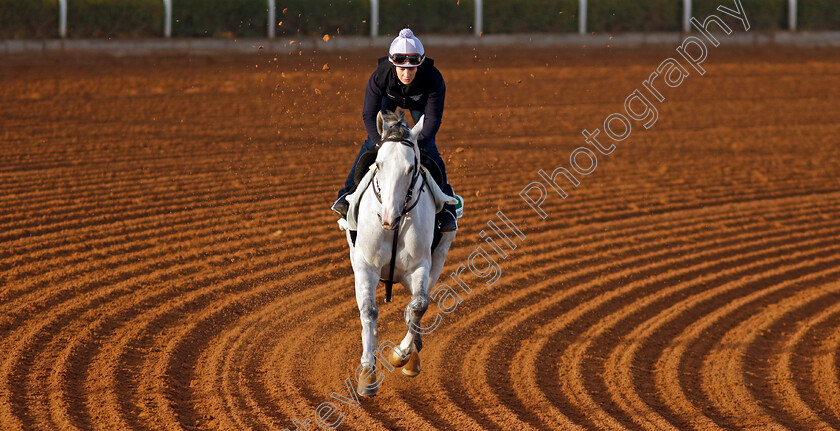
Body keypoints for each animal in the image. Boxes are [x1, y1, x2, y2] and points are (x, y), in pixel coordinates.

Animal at [344, 111, 456, 398]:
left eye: (410, 168)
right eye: (379, 164)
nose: (387, 217)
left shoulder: (421, 266)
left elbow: (419, 306)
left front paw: (402, 355)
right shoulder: (365, 266)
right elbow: (369, 311)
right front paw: (368, 374)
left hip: (437, 260)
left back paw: (412, 355)